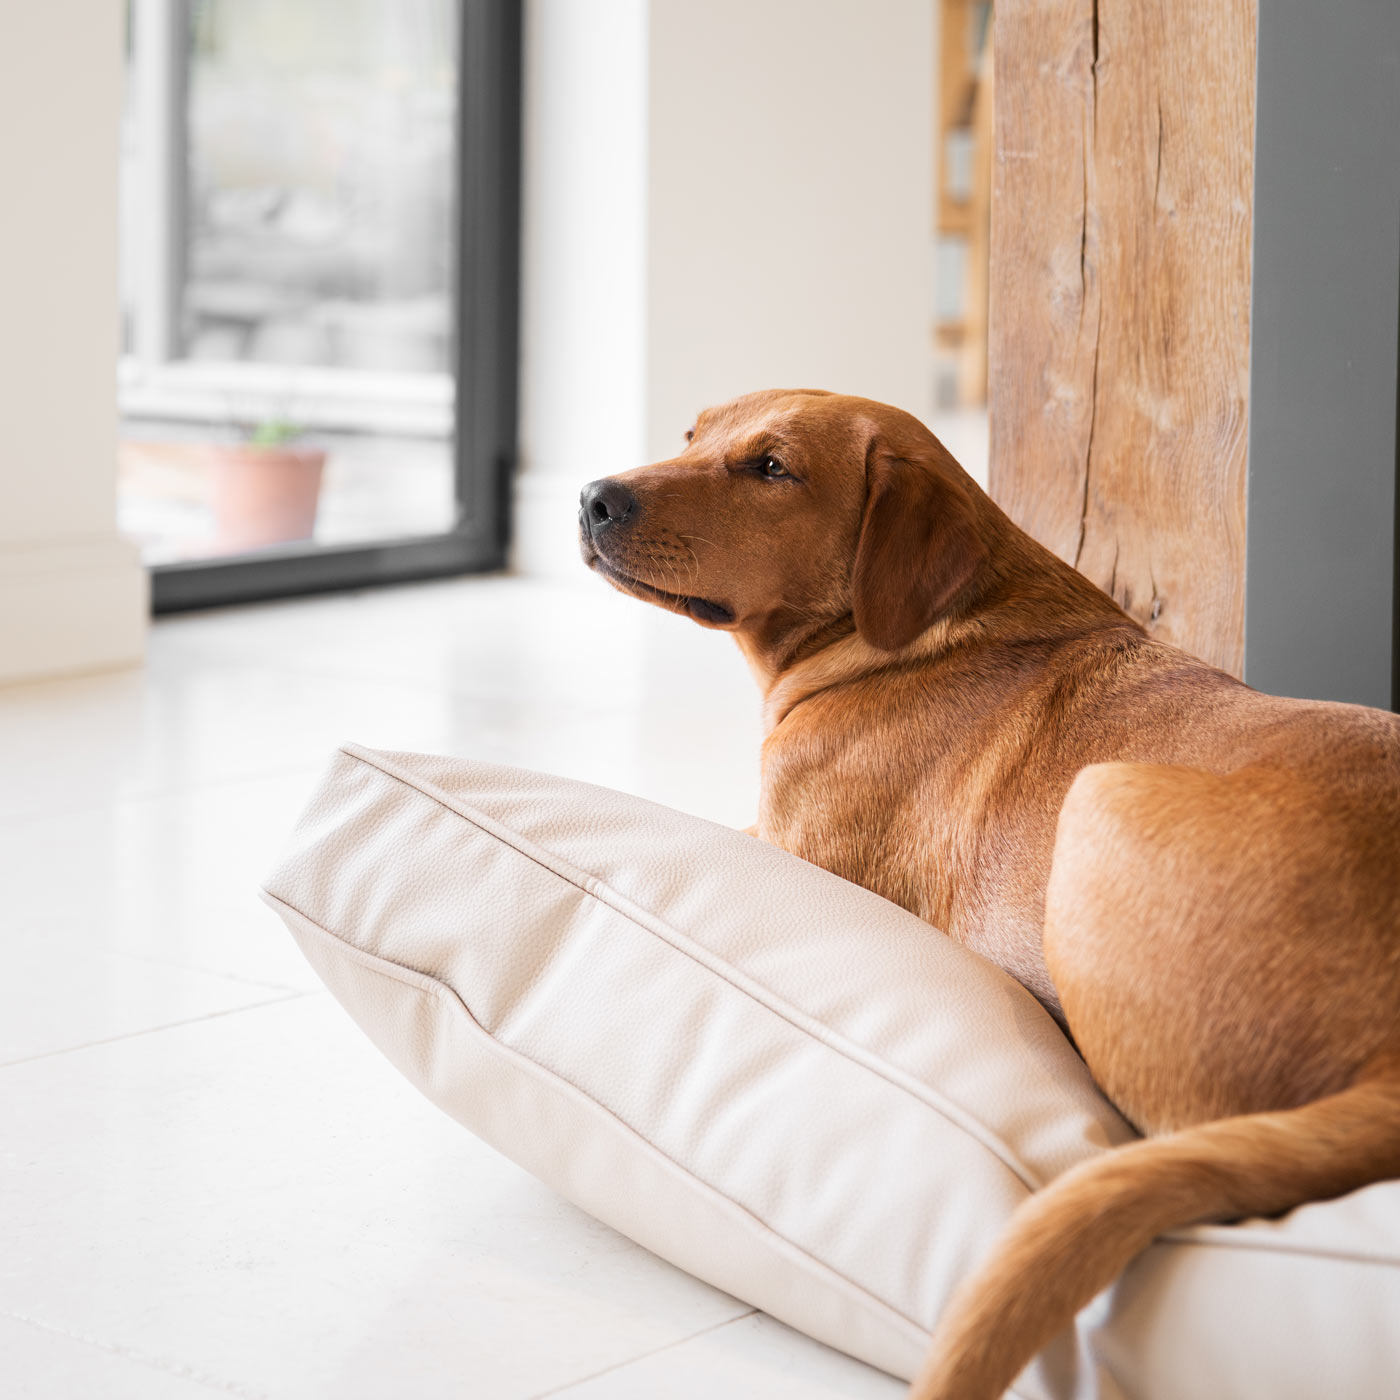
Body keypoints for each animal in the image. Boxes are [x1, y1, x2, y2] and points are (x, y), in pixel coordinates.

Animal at [576, 389, 1400, 1394]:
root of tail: (1391, 1058)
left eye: (772, 469)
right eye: (693, 436)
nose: (594, 497)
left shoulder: (788, 845)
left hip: (1102, 799)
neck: (907, 637)